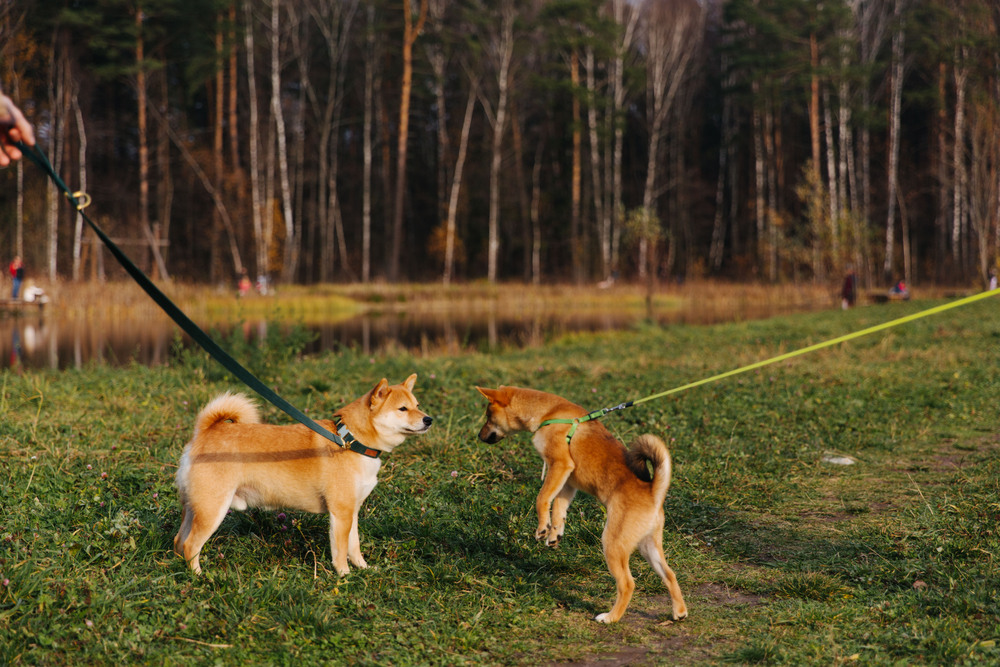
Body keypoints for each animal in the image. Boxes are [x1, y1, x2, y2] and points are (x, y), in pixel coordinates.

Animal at [174, 374, 432, 576]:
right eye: (402, 409)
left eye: (418, 404)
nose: (429, 419)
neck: (352, 442)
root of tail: (206, 432)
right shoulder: (341, 513)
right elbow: (340, 551)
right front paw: (344, 576)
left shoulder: (352, 511)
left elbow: (354, 546)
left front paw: (364, 569)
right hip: (212, 510)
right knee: (191, 545)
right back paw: (201, 577)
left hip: (195, 508)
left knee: (179, 542)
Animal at [476, 386, 688, 628]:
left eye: (488, 416)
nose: (478, 436)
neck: (549, 413)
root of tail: (653, 492)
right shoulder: (568, 481)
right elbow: (558, 509)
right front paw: (554, 533)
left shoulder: (559, 464)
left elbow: (542, 499)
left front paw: (542, 528)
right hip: (648, 546)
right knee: (670, 575)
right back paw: (679, 612)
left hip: (612, 544)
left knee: (627, 584)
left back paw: (610, 617)